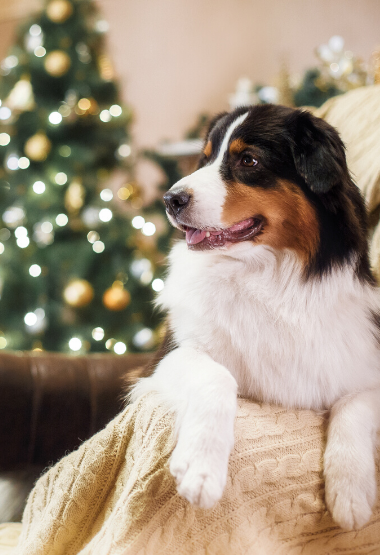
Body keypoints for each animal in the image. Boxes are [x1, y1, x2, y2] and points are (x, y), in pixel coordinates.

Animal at [130, 102, 380, 532]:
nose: (170, 198)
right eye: (206, 157)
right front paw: (201, 468)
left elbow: (353, 405)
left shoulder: (363, 364)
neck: (264, 277)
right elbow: (217, 376)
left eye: (249, 160)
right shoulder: (167, 357)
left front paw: (351, 490)